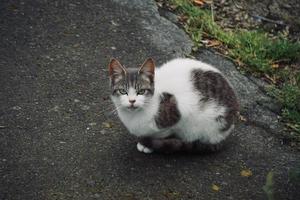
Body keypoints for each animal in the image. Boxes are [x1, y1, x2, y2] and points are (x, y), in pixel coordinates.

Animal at [108, 57, 239, 154]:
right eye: (123, 91)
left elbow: (163, 134)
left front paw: (148, 144)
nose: (132, 101)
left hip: (209, 124)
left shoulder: (181, 113)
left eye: (141, 91)